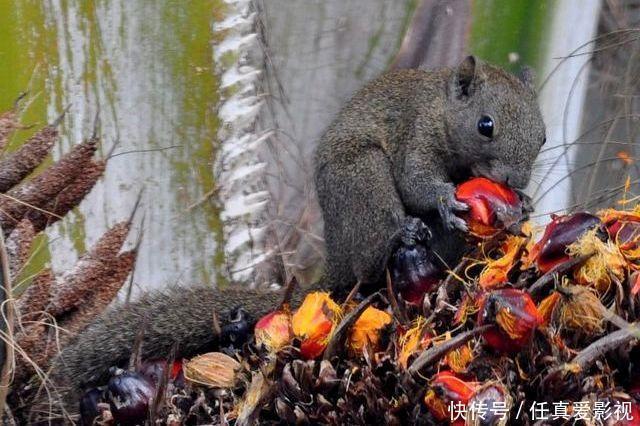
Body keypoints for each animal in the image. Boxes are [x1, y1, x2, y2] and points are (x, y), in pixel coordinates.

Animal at [52, 55, 548, 396]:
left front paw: (523, 206)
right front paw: (447, 200)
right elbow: (417, 180)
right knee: (374, 256)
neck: (444, 110)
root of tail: (337, 266)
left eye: (543, 135)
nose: (514, 180)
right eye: (485, 125)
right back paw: (403, 235)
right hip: (363, 181)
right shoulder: (417, 133)